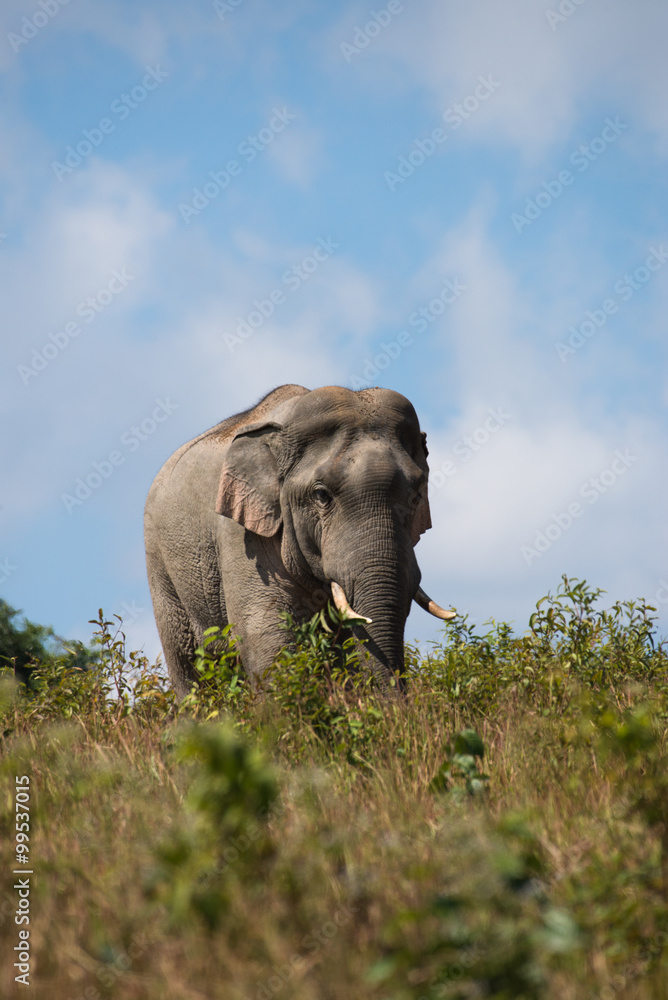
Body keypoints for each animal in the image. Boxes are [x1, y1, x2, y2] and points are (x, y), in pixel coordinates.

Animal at [144, 384, 454, 698]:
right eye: (321, 495)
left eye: (416, 497)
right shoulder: (242, 533)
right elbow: (264, 634)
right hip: (158, 560)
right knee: (185, 658)